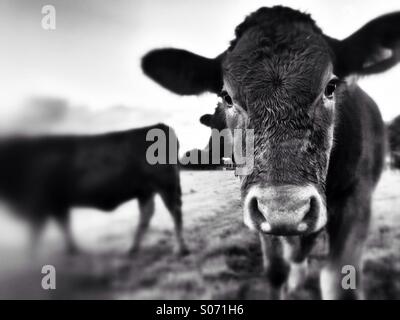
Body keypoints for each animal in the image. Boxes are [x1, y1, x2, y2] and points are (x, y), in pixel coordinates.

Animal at [0, 124, 188, 256]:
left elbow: (37, 231)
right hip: (145, 191)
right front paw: (72, 249)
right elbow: (63, 224)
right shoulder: (57, 203)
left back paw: (180, 249)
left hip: (166, 186)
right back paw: (132, 248)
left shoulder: (41, 202)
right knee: (146, 215)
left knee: (175, 212)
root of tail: (160, 126)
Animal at [141, 6, 400, 298]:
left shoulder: (356, 198)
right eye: (227, 97)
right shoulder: (257, 207)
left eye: (330, 87)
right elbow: (276, 271)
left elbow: (337, 278)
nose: (285, 209)